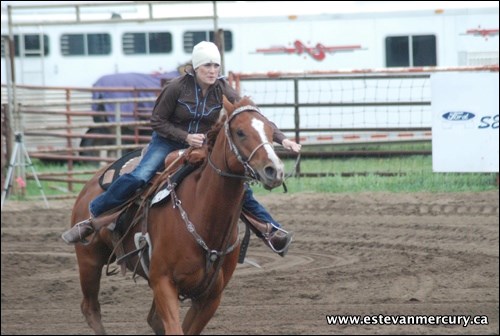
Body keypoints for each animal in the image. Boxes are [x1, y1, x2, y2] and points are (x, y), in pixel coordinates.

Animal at [69, 96, 286, 334]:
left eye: (271, 129)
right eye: (240, 132)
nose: (275, 170)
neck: (204, 217)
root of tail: (91, 182)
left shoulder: (210, 297)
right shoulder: (163, 282)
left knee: (151, 319)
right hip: (89, 260)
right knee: (90, 308)